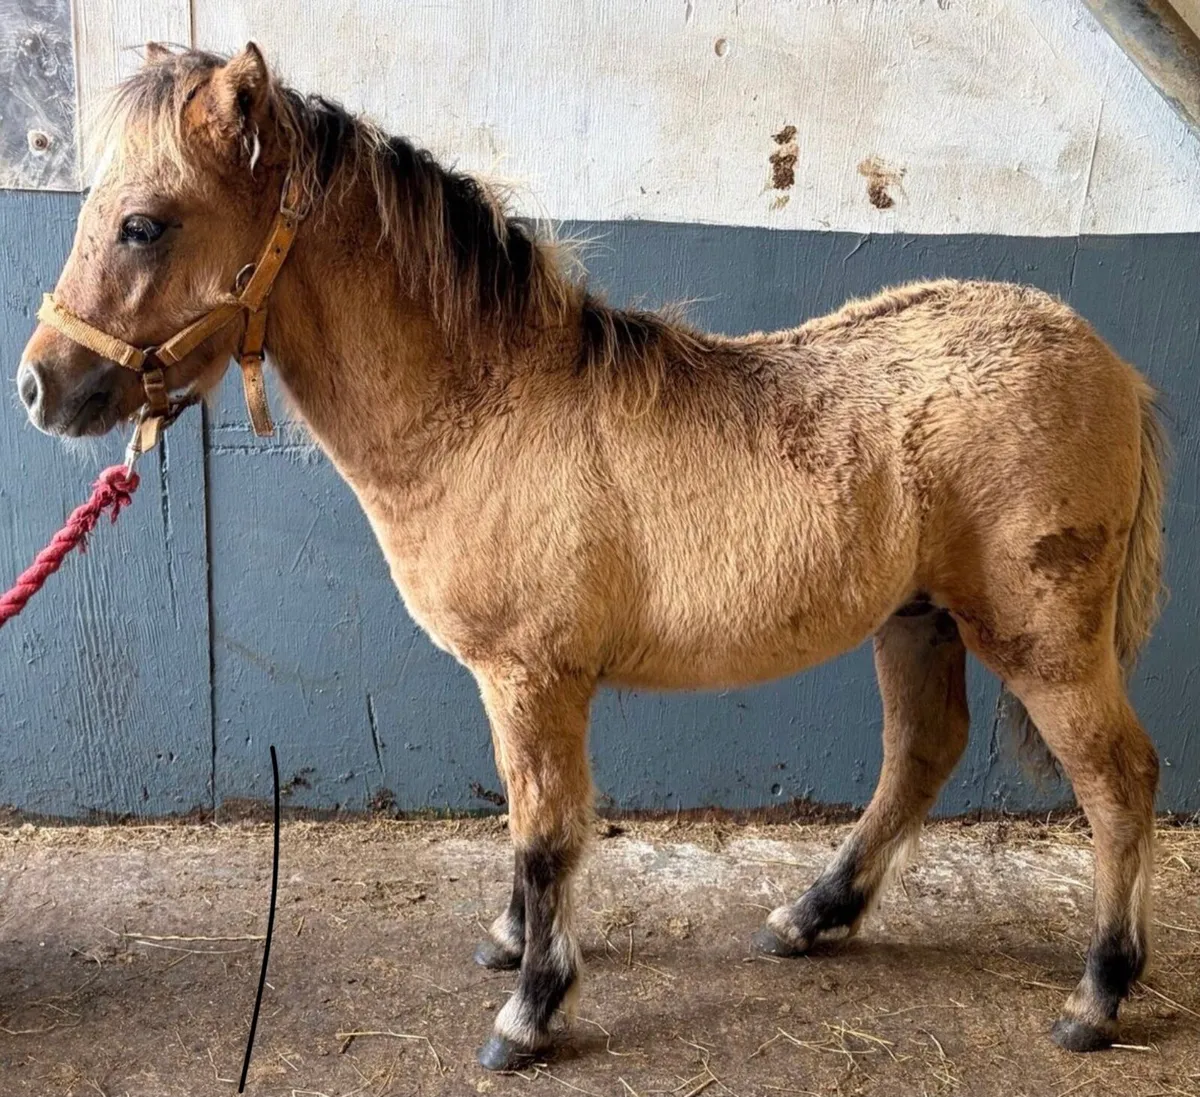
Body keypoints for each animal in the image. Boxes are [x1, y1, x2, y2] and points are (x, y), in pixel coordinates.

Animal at [16, 44, 1166, 1071]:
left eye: (144, 224)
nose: (39, 386)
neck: (487, 414)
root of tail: (1105, 357)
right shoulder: (520, 685)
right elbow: (528, 823)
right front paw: (514, 942)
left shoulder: (535, 677)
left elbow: (546, 834)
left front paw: (531, 1010)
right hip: (917, 617)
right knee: (921, 753)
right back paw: (807, 915)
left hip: (1042, 635)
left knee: (1118, 779)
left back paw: (1097, 995)